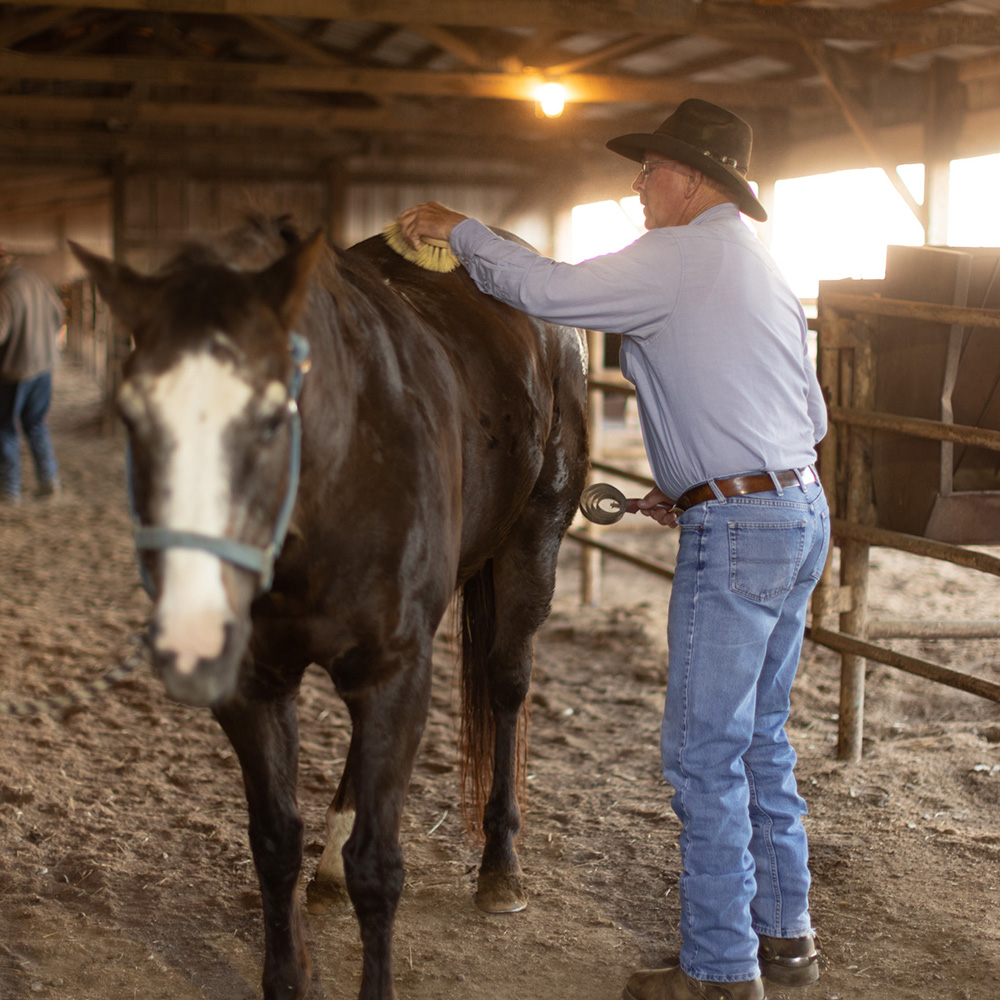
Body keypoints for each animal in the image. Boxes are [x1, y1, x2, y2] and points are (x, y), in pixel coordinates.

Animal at [72, 219, 592, 1000]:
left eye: (270, 414)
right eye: (133, 414)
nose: (192, 633)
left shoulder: (394, 673)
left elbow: (378, 867)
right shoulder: (254, 686)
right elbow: (274, 840)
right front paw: (290, 974)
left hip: (534, 545)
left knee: (507, 686)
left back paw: (501, 868)